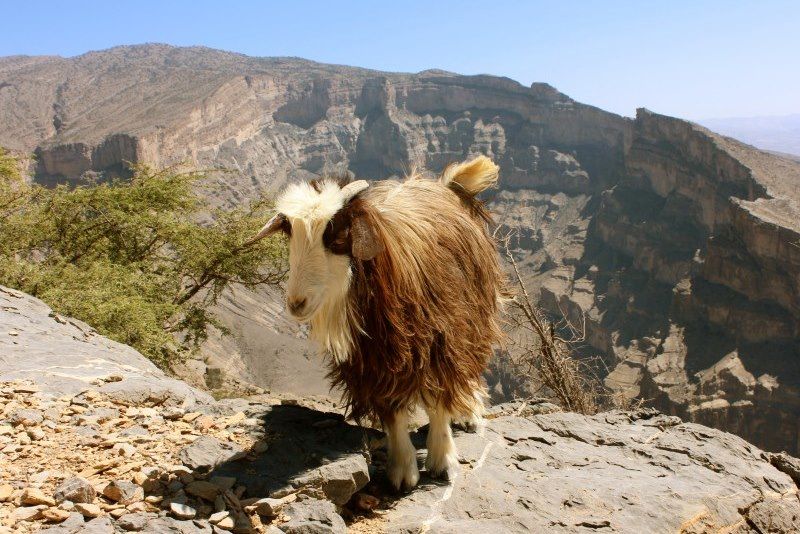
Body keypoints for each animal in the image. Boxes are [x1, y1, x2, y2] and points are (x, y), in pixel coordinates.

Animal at [250, 155, 504, 490]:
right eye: (290, 235)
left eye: (336, 236)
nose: (296, 303)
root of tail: (444, 187)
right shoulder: (374, 358)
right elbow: (391, 409)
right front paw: (403, 471)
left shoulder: (441, 339)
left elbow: (437, 399)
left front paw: (443, 460)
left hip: (474, 316)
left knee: (469, 364)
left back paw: (469, 412)